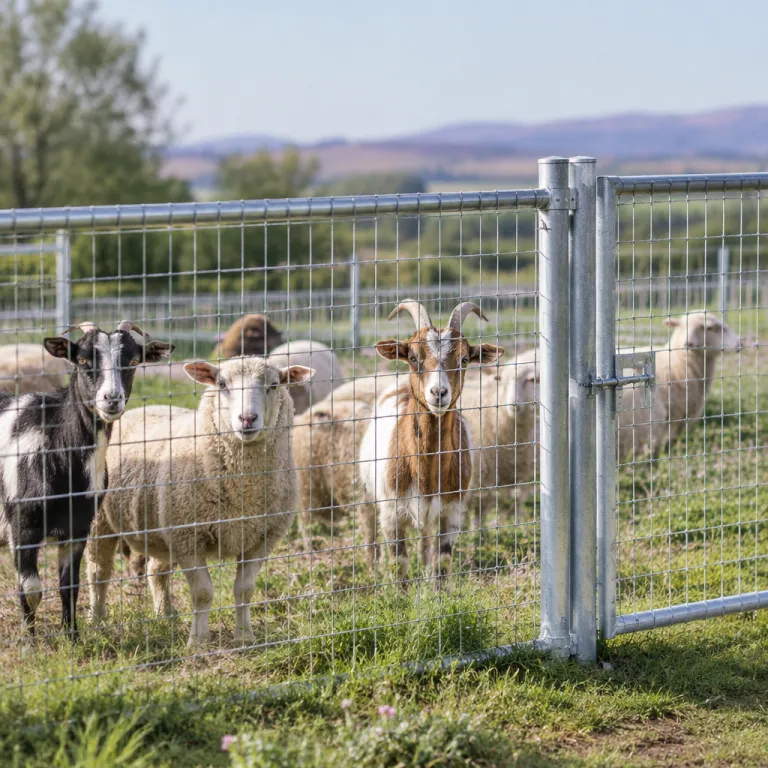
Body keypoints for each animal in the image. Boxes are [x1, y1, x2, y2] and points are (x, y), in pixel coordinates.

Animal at [0, 321, 173, 638]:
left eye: (133, 362)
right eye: (81, 360)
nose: (111, 399)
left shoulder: (78, 527)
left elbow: (70, 587)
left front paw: (73, 636)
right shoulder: (22, 526)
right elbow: (30, 589)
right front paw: (29, 639)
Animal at [86, 355, 314, 646]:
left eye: (274, 385)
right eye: (222, 384)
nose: (247, 419)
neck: (244, 492)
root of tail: (139, 409)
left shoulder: (260, 540)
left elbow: (244, 590)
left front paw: (244, 636)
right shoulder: (188, 539)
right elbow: (203, 593)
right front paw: (198, 642)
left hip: (164, 528)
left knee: (156, 571)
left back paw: (166, 616)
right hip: (101, 522)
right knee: (98, 573)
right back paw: (97, 622)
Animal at [358, 300, 503, 584]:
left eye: (464, 359)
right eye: (414, 358)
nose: (438, 393)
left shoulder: (451, 512)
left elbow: (442, 563)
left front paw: (436, 592)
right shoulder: (391, 513)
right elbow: (399, 564)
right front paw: (400, 595)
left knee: (426, 541)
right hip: (370, 493)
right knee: (370, 526)